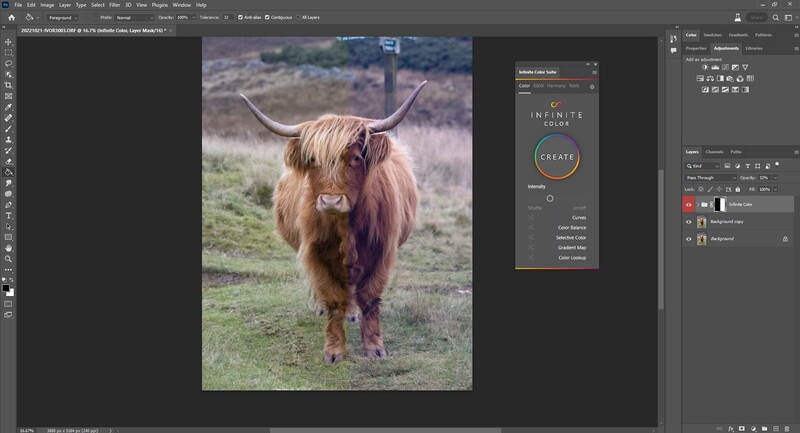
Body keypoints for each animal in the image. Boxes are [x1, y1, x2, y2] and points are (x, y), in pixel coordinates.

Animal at [240, 82, 425, 364]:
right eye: (313, 160)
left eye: (356, 158)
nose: (330, 200)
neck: (346, 228)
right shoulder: (315, 254)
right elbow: (333, 298)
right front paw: (334, 351)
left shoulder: (382, 252)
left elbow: (370, 296)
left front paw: (374, 347)